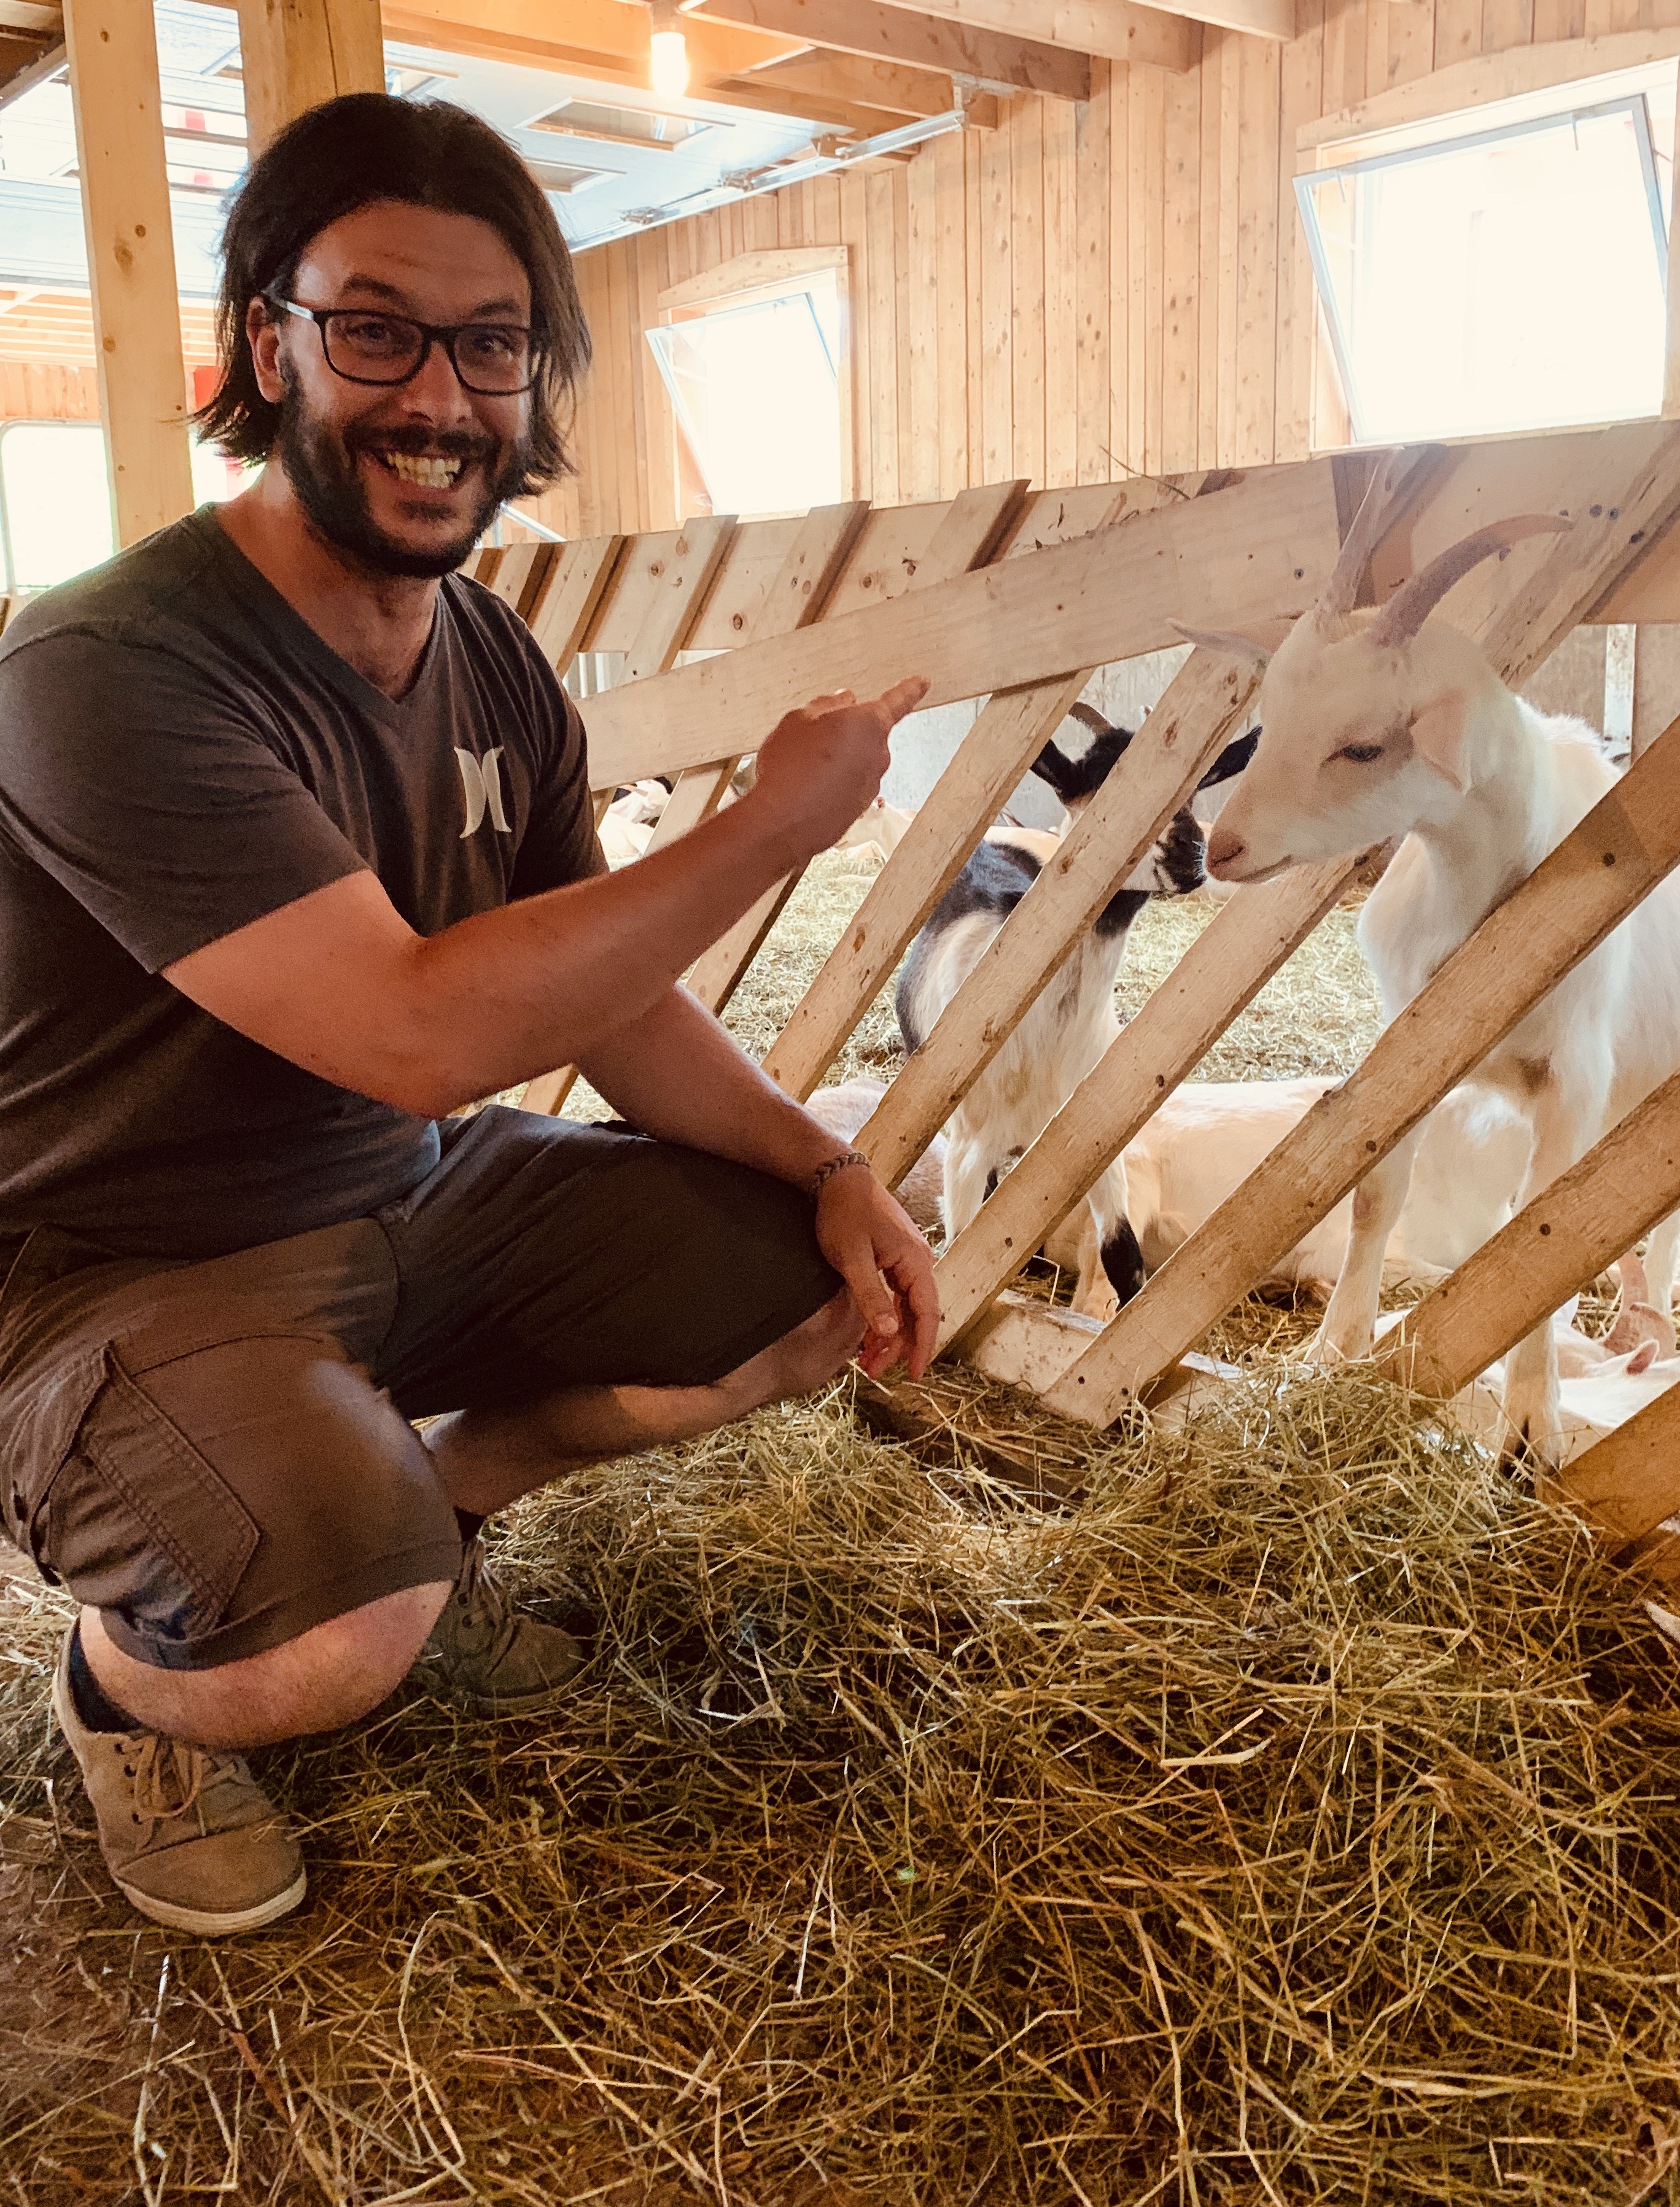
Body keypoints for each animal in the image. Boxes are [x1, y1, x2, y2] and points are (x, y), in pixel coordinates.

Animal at [896, 715, 1254, 1315]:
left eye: (1198, 785)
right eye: (1108, 786)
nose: (1191, 852)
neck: (1051, 1036)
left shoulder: (1092, 1144)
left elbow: (1123, 1258)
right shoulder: (968, 1147)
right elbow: (959, 1255)